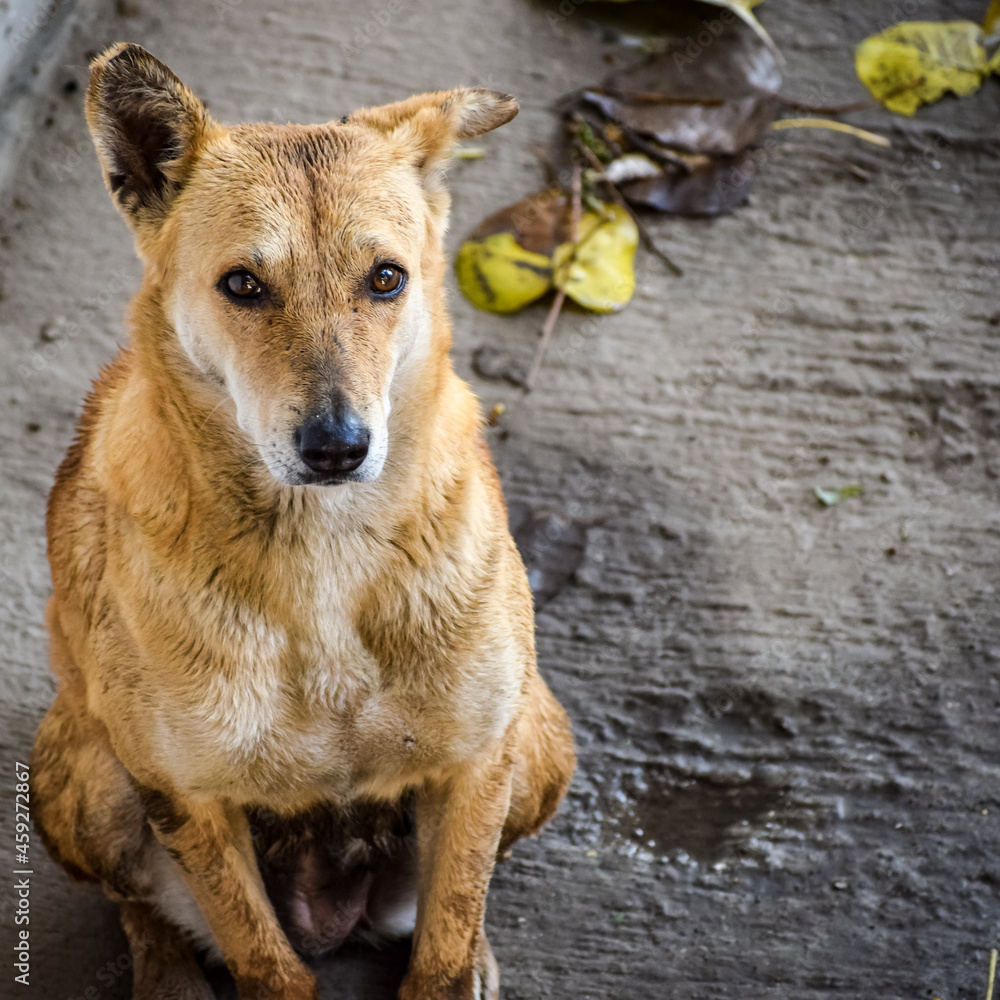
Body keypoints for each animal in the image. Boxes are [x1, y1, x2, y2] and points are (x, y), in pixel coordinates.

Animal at [31, 41, 576, 1000]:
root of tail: (335, 911)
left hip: (539, 736)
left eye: (387, 278)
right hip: (84, 777)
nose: (337, 447)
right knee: (141, 905)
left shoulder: (478, 763)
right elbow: (261, 957)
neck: (324, 550)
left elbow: (445, 934)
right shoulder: (190, 800)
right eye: (243, 284)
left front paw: (459, 959)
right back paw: (166, 972)